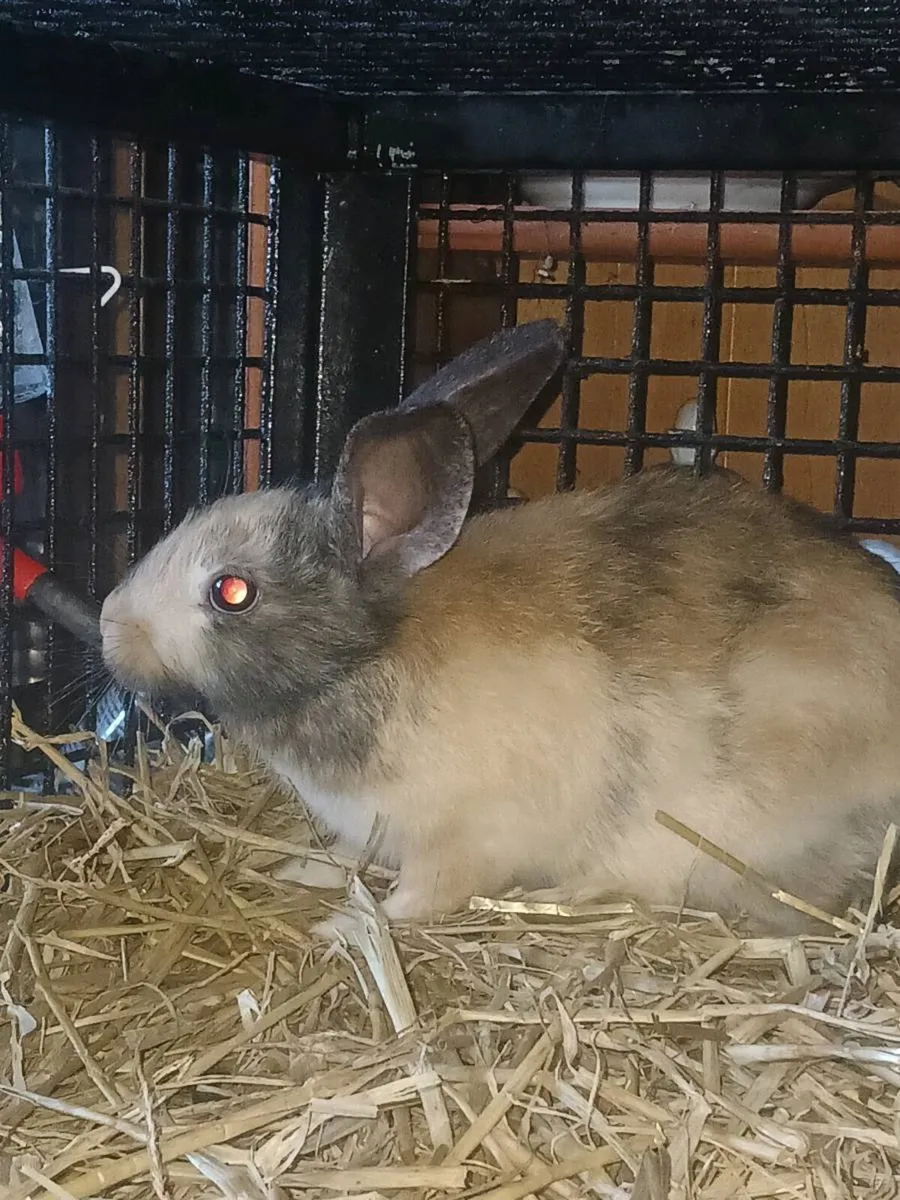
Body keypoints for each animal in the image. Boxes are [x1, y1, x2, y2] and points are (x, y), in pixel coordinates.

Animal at [100, 318, 900, 936]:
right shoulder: (371, 832)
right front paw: (302, 870)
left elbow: (418, 898)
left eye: (231, 591)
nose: (109, 623)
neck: (370, 652)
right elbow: (346, 859)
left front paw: (347, 925)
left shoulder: (458, 841)